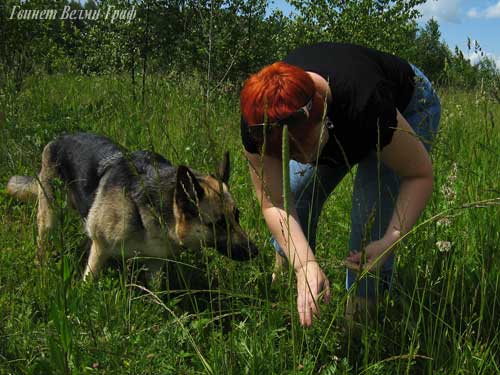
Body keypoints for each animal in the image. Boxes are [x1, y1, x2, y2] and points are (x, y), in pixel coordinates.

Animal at [6, 132, 258, 282]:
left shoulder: (155, 262)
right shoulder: (100, 250)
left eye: (237, 217)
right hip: (49, 216)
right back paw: (40, 266)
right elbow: (89, 282)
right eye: (218, 224)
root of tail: (59, 138)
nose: (256, 252)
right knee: (43, 240)